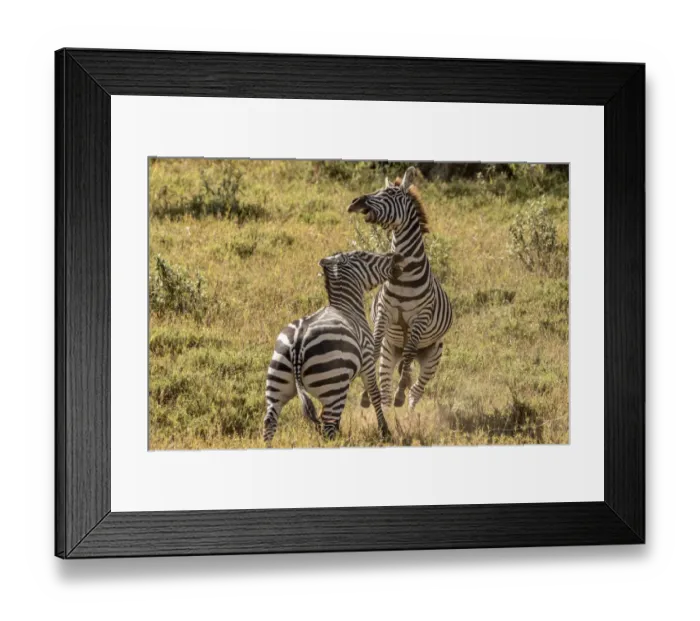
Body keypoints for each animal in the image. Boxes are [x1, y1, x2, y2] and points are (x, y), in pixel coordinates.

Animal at [263, 250, 404, 444]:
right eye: (364, 255)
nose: (397, 256)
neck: (347, 307)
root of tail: (298, 341)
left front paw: (341, 431)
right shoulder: (367, 360)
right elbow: (374, 394)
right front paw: (385, 432)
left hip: (277, 381)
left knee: (270, 421)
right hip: (333, 386)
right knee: (327, 423)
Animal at [348, 167, 453, 410]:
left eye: (390, 194)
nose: (356, 202)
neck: (403, 275)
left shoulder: (419, 319)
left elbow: (407, 358)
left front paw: (400, 393)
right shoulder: (384, 313)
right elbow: (375, 349)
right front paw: (366, 394)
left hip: (433, 355)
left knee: (417, 388)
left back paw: (408, 406)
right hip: (391, 351)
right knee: (388, 381)